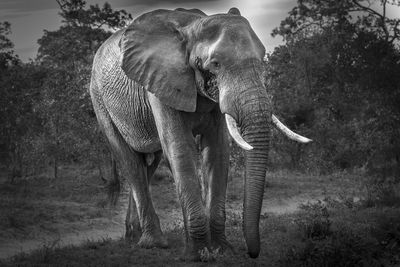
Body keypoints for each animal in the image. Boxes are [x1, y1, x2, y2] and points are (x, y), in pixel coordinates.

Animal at [89, 6, 310, 262]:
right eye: (215, 63)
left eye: (263, 57)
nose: (252, 253)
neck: (193, 25)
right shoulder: (162, 80)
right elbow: (180, 149)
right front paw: (197, 254)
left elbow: (217, 150)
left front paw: (222, 250)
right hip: (99, 100)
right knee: (130, 162)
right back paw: (153, 243)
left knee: (148, 164)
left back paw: (133, 236)